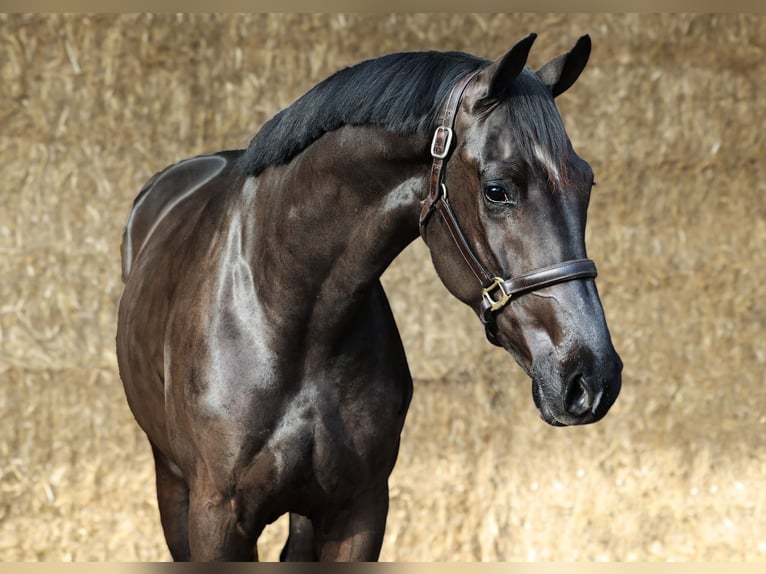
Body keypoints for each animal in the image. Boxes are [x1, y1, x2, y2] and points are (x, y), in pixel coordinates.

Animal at [116, 33, 622, 561]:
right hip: (171, 482)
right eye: (498, 190)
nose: (592, 378)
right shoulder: (217, 517)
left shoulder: (359, 510)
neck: (286, 314)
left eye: (586, 182)